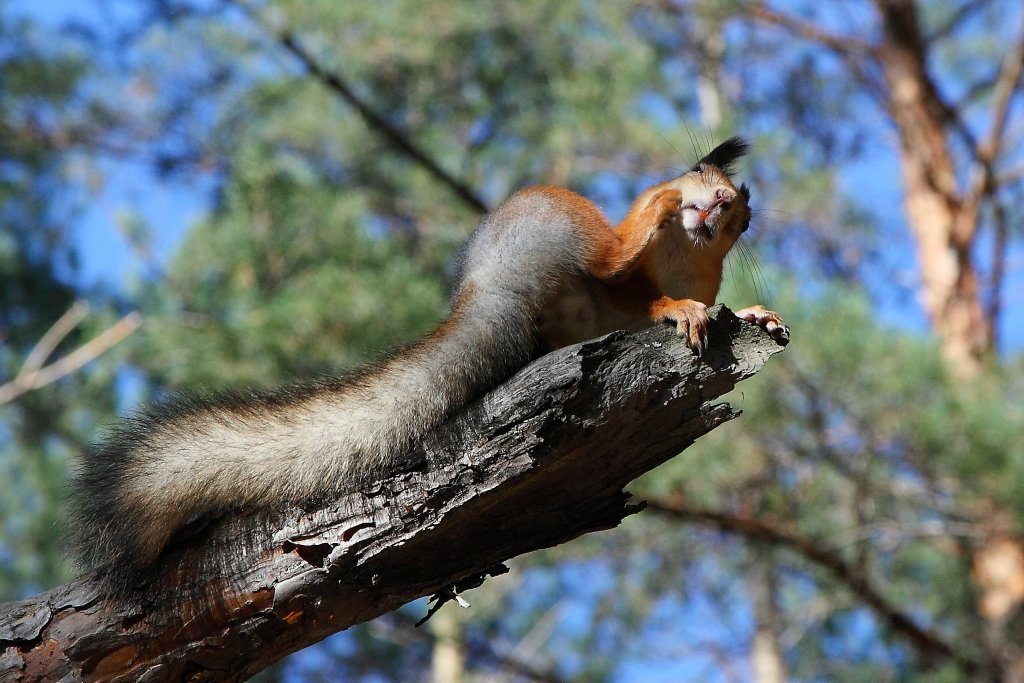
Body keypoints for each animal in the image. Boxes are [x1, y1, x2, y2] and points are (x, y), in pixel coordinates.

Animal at [70, 136, 782, 585]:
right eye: (702, 174)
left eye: (742, 218)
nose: (716, 205)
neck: (684, 257)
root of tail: (490, 287)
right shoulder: (634, 276)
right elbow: (643, 285)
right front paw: (679, 289)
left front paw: (749, 314)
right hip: (566, 222)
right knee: (610, 252)